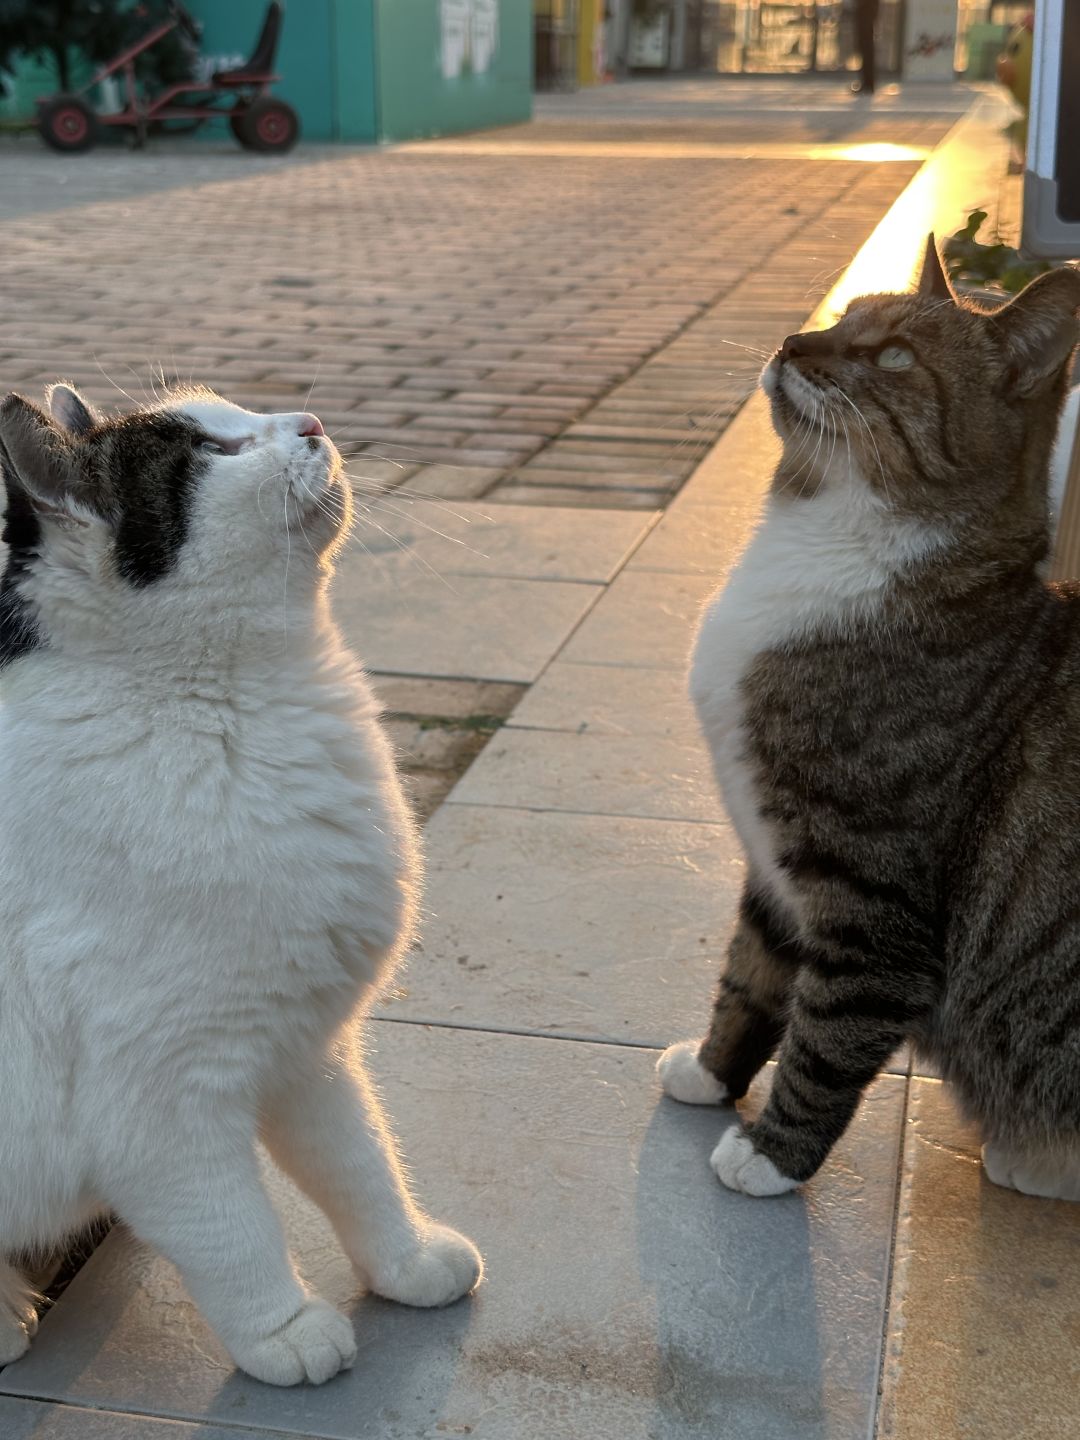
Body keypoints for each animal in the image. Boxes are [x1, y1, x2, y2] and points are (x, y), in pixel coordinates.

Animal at [0, 380, 480, 1382]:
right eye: (211, 453)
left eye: (237, 414)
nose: (312, 421)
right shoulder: (161, 1103)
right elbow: (233, 1230)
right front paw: (283, 1329)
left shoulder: (307, 1047)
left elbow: (361, 1165)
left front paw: (406, 1260)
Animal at [659, 239, 1080, 1203]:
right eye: (845, 318)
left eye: (891, 356)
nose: (793, 337)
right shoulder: (774, 862)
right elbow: (752, 975)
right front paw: (713, 1072)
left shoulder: (872, 893)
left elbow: (831, 1029)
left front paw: (772, 1155)